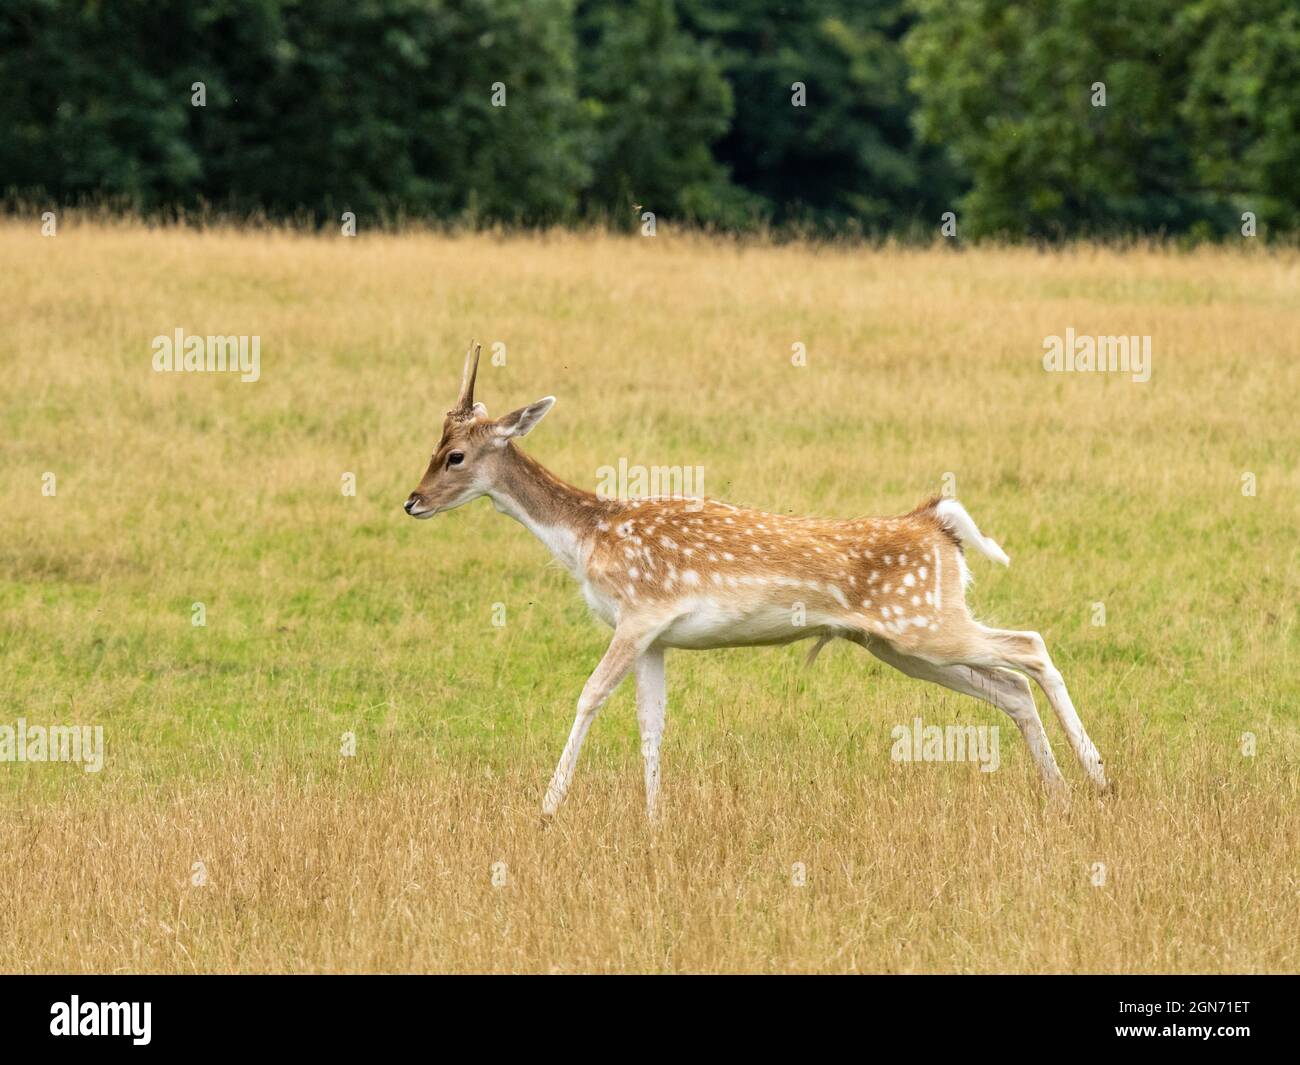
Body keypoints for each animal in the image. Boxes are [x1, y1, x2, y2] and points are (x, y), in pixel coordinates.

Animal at [405, 345, 1107, 821]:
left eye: (455, 456)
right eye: (433, 448)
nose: (412, 502)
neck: (588, 539)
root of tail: (938, 524)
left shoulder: (639, 614)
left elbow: (589, 698)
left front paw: (548, 809)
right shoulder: (656, 636)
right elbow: (651, 723)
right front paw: (655, 820)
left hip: (925, 623)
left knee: (1030, 647)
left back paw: (1098, 777)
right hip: (901, 642)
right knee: (1010, 686)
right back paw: (1061, 795)